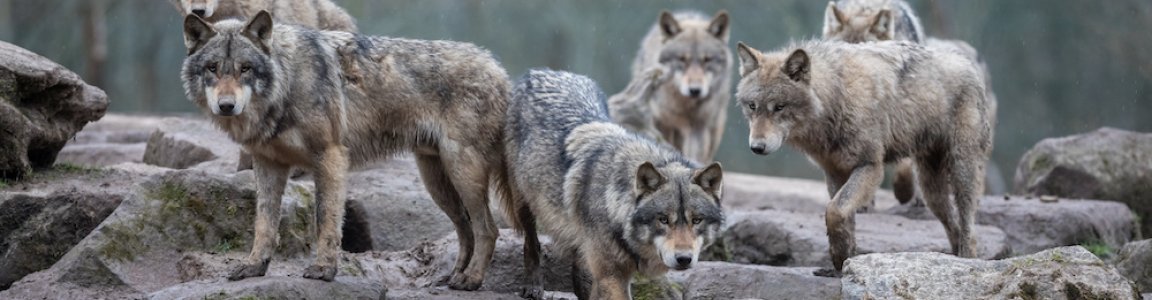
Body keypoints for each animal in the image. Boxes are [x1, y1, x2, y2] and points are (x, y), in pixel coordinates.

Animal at [178, 9, 509, 288]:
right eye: (212, 68)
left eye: (245, 68)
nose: (226, 106)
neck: (288, 81)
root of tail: (498, 68)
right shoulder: (268, 164)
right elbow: (264, 223)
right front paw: (254, 266)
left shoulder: (331, 156)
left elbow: (325, 219)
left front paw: (324, 270)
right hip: (436, 182)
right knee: (466, 229)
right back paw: (453, 276)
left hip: (462, 172)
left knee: (487, 229)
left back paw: (471, 280)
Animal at [502, 69, 718, 297]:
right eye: (663, 220)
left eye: (697, 220)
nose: (684, 259)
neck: (614, 203)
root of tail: (542, 71)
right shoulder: (612, 275)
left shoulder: (611, 273)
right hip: (523, 204)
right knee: (531, 243)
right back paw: (533, 286)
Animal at [617, 10, 732, 163]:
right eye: (682, 59)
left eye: (707, 60)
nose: (695, 90)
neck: (685, 106)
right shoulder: (663, 124)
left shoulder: (698, 128)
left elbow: (695, 154)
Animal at [732, 40, 995, 276]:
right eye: (752, 106)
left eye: (779, 107)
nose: (757, 147)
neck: (837, 98)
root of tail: (967, 62)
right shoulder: (835, 172)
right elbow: (844, 217)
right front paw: (842, 263)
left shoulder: (870, 167)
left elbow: (835, 210)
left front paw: (840, 258)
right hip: (931, 191)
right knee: (953, 225)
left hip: (961, 171)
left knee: (969, 226)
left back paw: (967, 260)